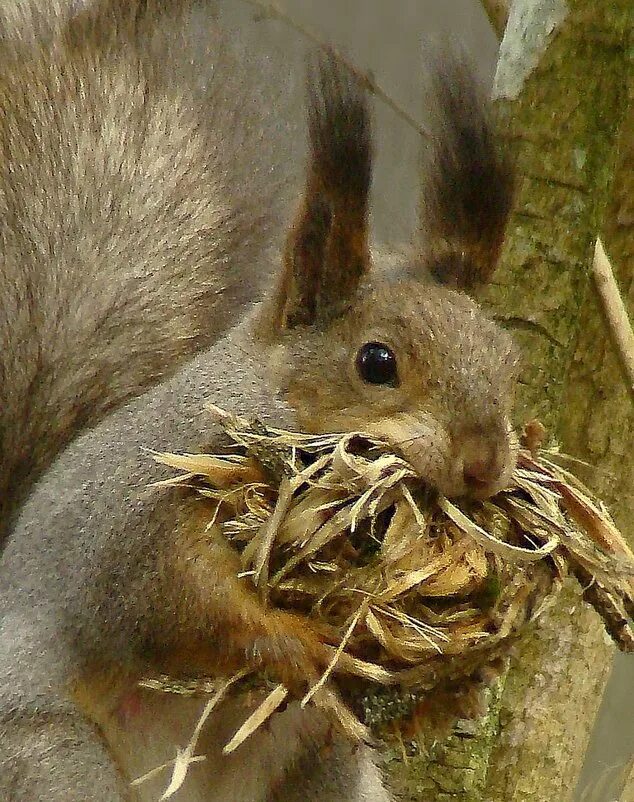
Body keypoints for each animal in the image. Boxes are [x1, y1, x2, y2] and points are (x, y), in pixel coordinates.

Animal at [0, 1, 512, 800]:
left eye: (508, 359)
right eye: (377, 362)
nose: (486, 462)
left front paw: (463, 675)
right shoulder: (136, 508)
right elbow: (170, 602)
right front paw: (295, 644)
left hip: (325, 771)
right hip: (49, 759)